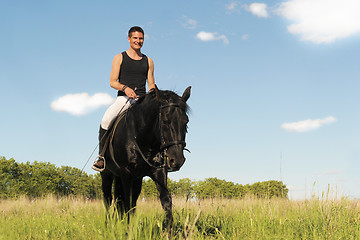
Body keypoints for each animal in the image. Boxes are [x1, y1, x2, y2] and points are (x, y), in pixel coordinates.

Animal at [100, 86, 191, 227]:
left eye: (186, 122)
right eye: (165, 121)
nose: (177, 160)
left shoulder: (159, 172)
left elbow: (166, 201)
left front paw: (169, 230)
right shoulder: (126, 174)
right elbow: (127, 203)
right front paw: (128, 229)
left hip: (135, 179)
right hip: (107, 174)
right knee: (108, 200)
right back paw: (108, 224)